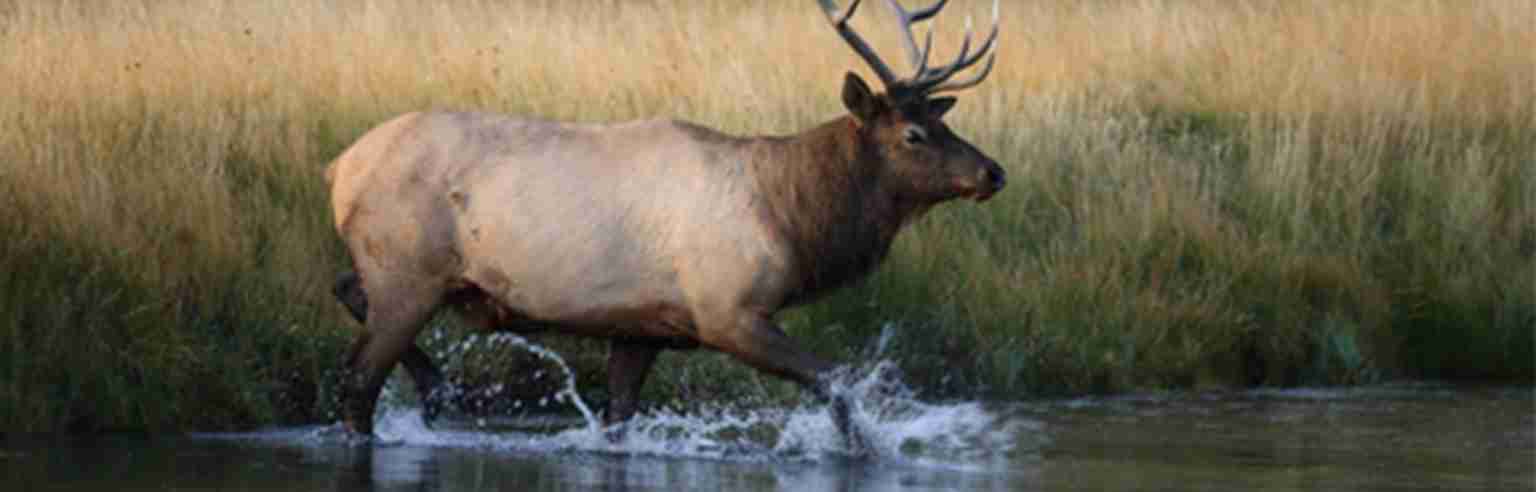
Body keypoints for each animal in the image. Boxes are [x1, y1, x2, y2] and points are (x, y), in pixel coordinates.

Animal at [326, 0, 1002, 452]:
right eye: (913, 134)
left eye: (942, 122)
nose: (992, 172)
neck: (792, 217)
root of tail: (339, 168)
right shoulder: (727, 309)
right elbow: (834, 381)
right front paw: (861, 449)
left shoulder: (643, 325)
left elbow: (618, 420)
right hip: (407, 271)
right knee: (356, 382)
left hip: (402, 271)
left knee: (345, 290)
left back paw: (437, 388)